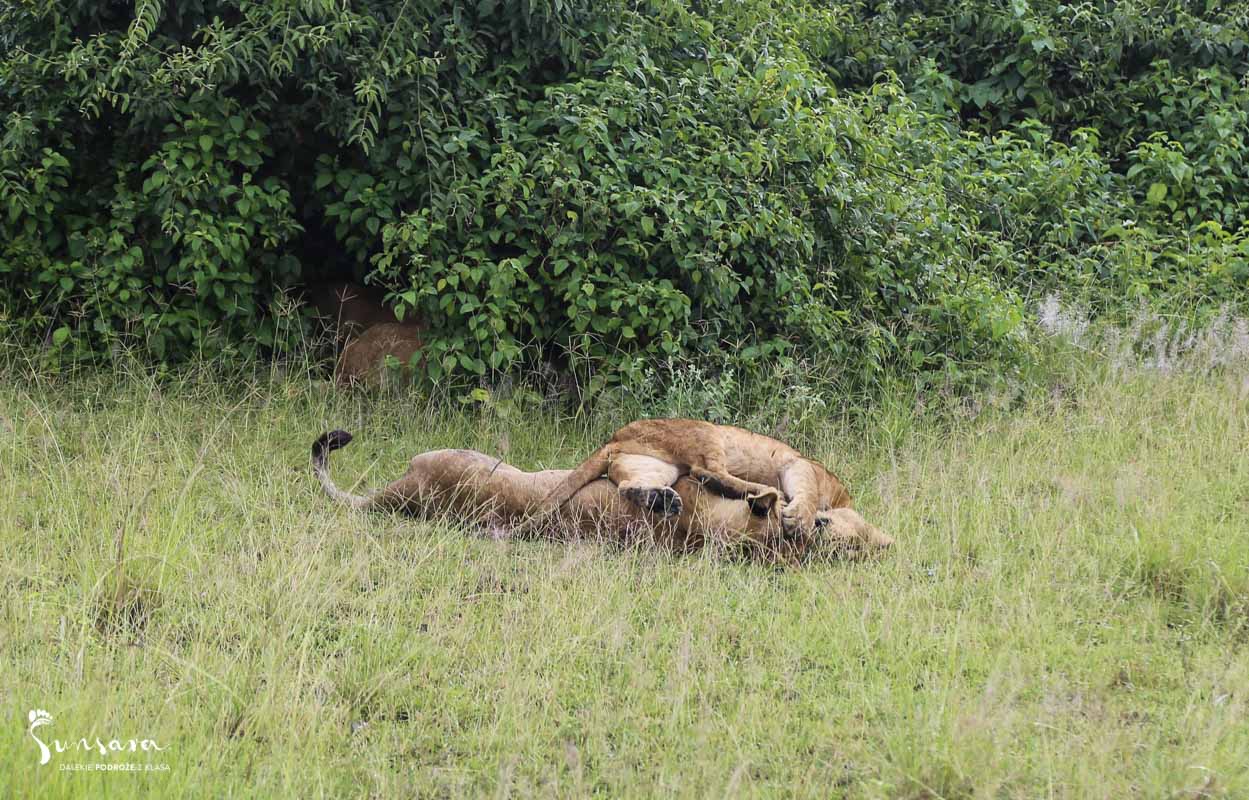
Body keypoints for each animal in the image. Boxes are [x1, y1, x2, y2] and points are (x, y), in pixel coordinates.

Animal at [535, 419, 853, 541]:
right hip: (706, 431)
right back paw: (769, 493)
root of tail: (614, 438)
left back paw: (661, 500)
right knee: (706, 471)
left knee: (628, 486)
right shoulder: (800, 465)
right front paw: (802, 519)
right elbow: (807, 493)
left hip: (658, 466)